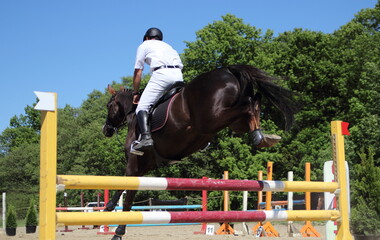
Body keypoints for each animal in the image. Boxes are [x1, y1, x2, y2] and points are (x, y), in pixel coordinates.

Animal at [102, 64, 298, 240]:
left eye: (109, 105)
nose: (106, 130)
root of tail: (229, 70)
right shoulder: (144, 167)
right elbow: (127, 191)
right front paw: (112, 218)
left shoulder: (134, 163)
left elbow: (125, 191)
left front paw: (113, 220)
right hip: (234, 123)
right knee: (254, 103)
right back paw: (262, 137)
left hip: (212, 118)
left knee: (247, 105)